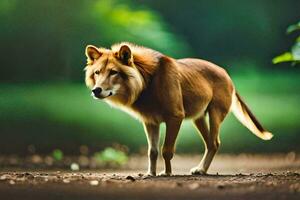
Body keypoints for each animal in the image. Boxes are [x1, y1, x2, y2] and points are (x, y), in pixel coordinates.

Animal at [83, 41, 274, 175]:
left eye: (113, 72)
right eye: (97, 72)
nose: (96, 90)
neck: (147, 83)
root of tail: (226, 73)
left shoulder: (175, 117)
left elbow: (166, 150)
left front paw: (167, 173)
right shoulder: (150, 122)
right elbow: (152, 151)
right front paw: (150, 174)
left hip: (215, 114)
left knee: (215, 142)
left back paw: (201, 170)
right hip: (198, 118)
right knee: (210, 144)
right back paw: (201, 170)